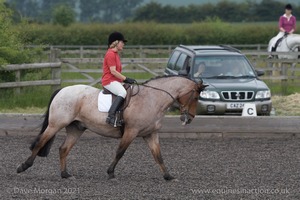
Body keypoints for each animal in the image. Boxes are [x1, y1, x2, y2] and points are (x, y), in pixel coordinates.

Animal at [16, 76, 207, 180]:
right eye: (196, 97)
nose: (189, 118)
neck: (152, 99)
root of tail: (62, 90)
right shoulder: (131, 131)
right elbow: (120, 152)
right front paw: (110, 173)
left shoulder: (151, 134)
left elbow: (158, 156)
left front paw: (168, 176)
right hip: (56, 124)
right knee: (40, 142)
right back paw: (23, 166)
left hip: (76, 129)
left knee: (63, 149)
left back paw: (65, 174)